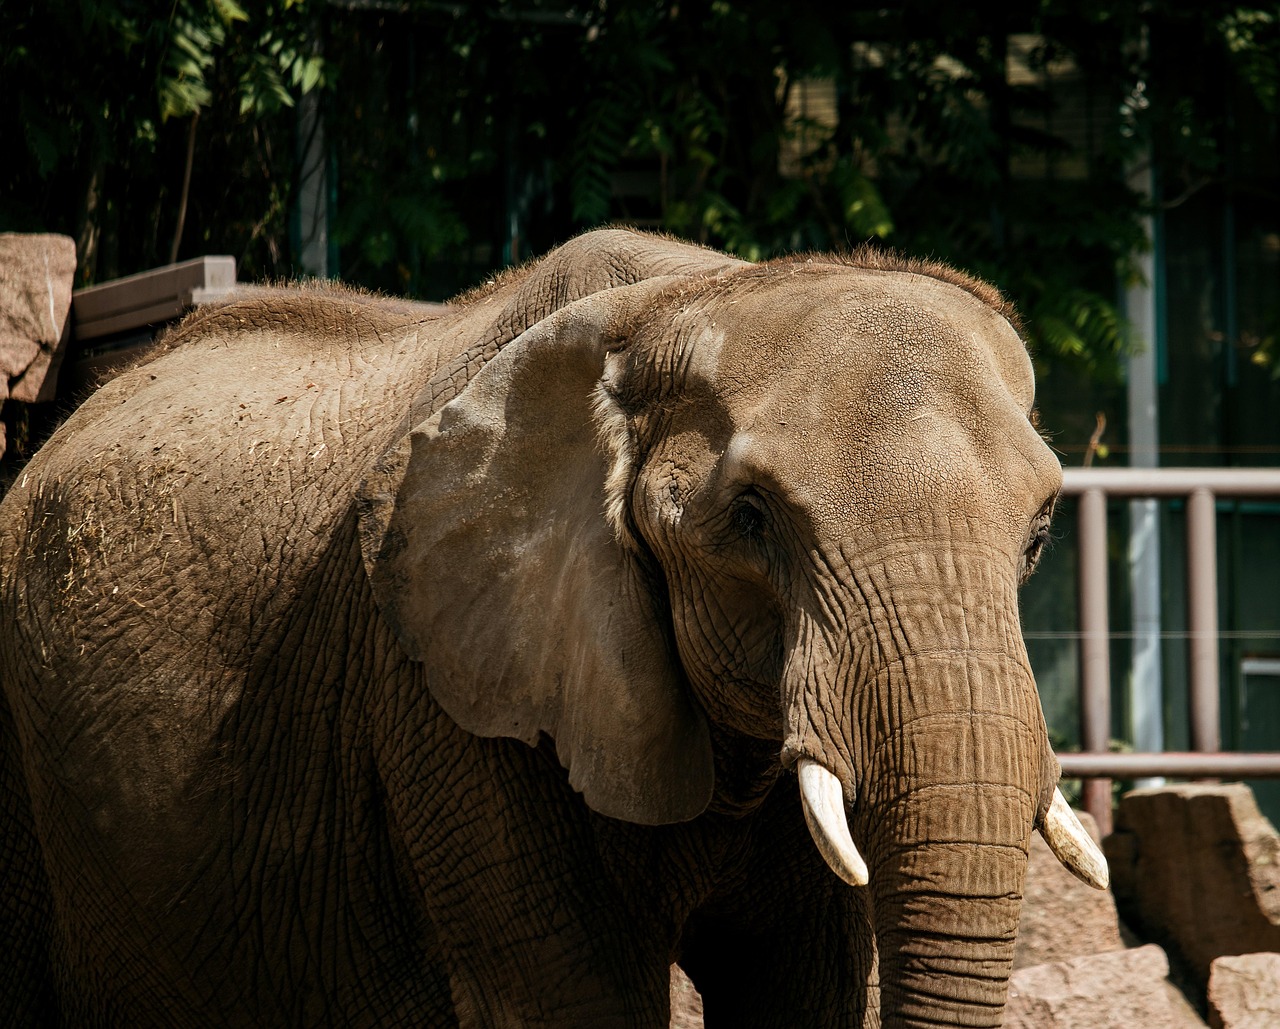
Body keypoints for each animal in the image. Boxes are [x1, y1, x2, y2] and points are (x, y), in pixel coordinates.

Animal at [0, 228, 1107, 1028]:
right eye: (750, 519)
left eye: (1040, 533)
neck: (688, 298)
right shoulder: (445, 697)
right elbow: (573, 1001)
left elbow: (802, 987)